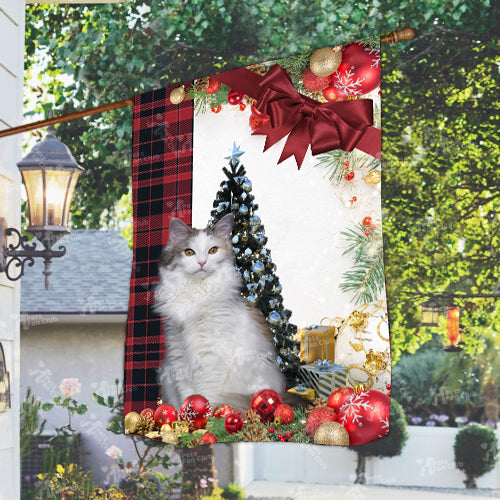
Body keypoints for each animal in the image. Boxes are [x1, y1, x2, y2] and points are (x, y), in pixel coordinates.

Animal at [154, 213, 298, 412]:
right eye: (189, 252)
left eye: (213, 250)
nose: (202, 262)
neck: (197, 292)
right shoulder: (179, 355)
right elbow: (187, 396)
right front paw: (185, 419)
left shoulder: (212, 357)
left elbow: (205, 395)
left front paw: (205, 418)